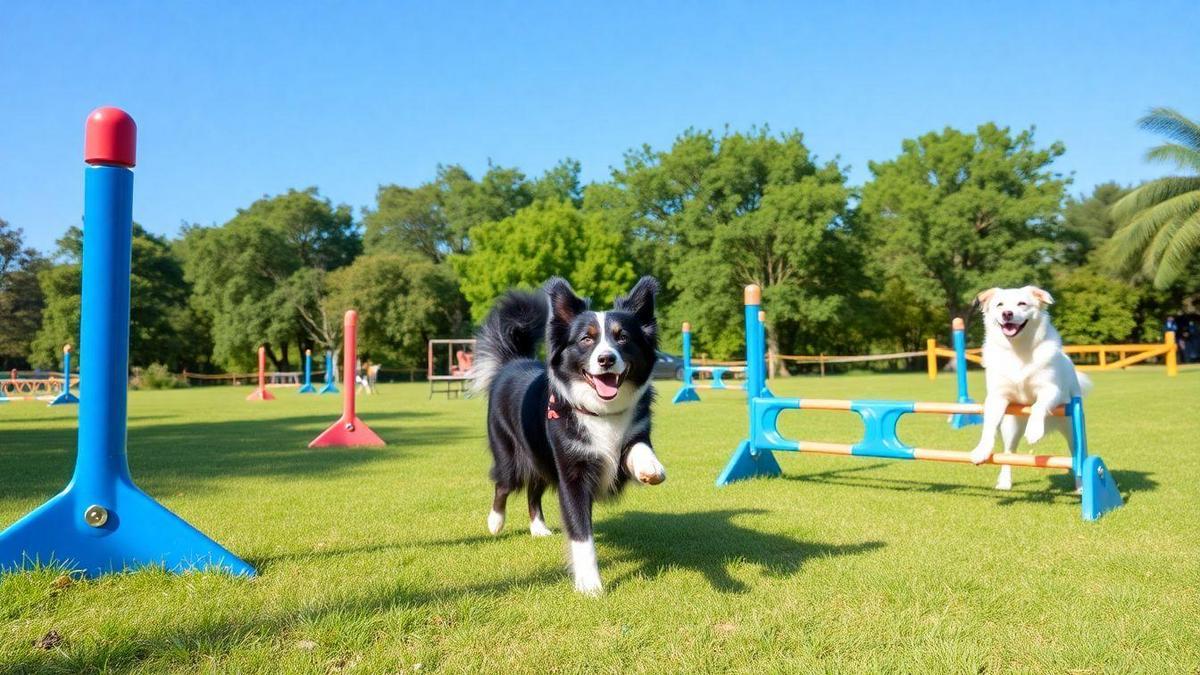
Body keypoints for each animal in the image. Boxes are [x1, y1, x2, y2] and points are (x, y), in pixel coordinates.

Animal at [964, 284, 1089, 487]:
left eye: (1022, 304)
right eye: (1000, 305)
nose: (1007, 313)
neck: (1018, 348)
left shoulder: (1051, 389)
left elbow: (1038, 406)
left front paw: (1034, 431)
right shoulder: (997, 397)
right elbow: (988, 427)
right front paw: (981, 451)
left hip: (1072, 427)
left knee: (1077, 456)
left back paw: (1081, 486)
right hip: (1010, 428)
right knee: (1008, 453)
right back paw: (1004, 483)